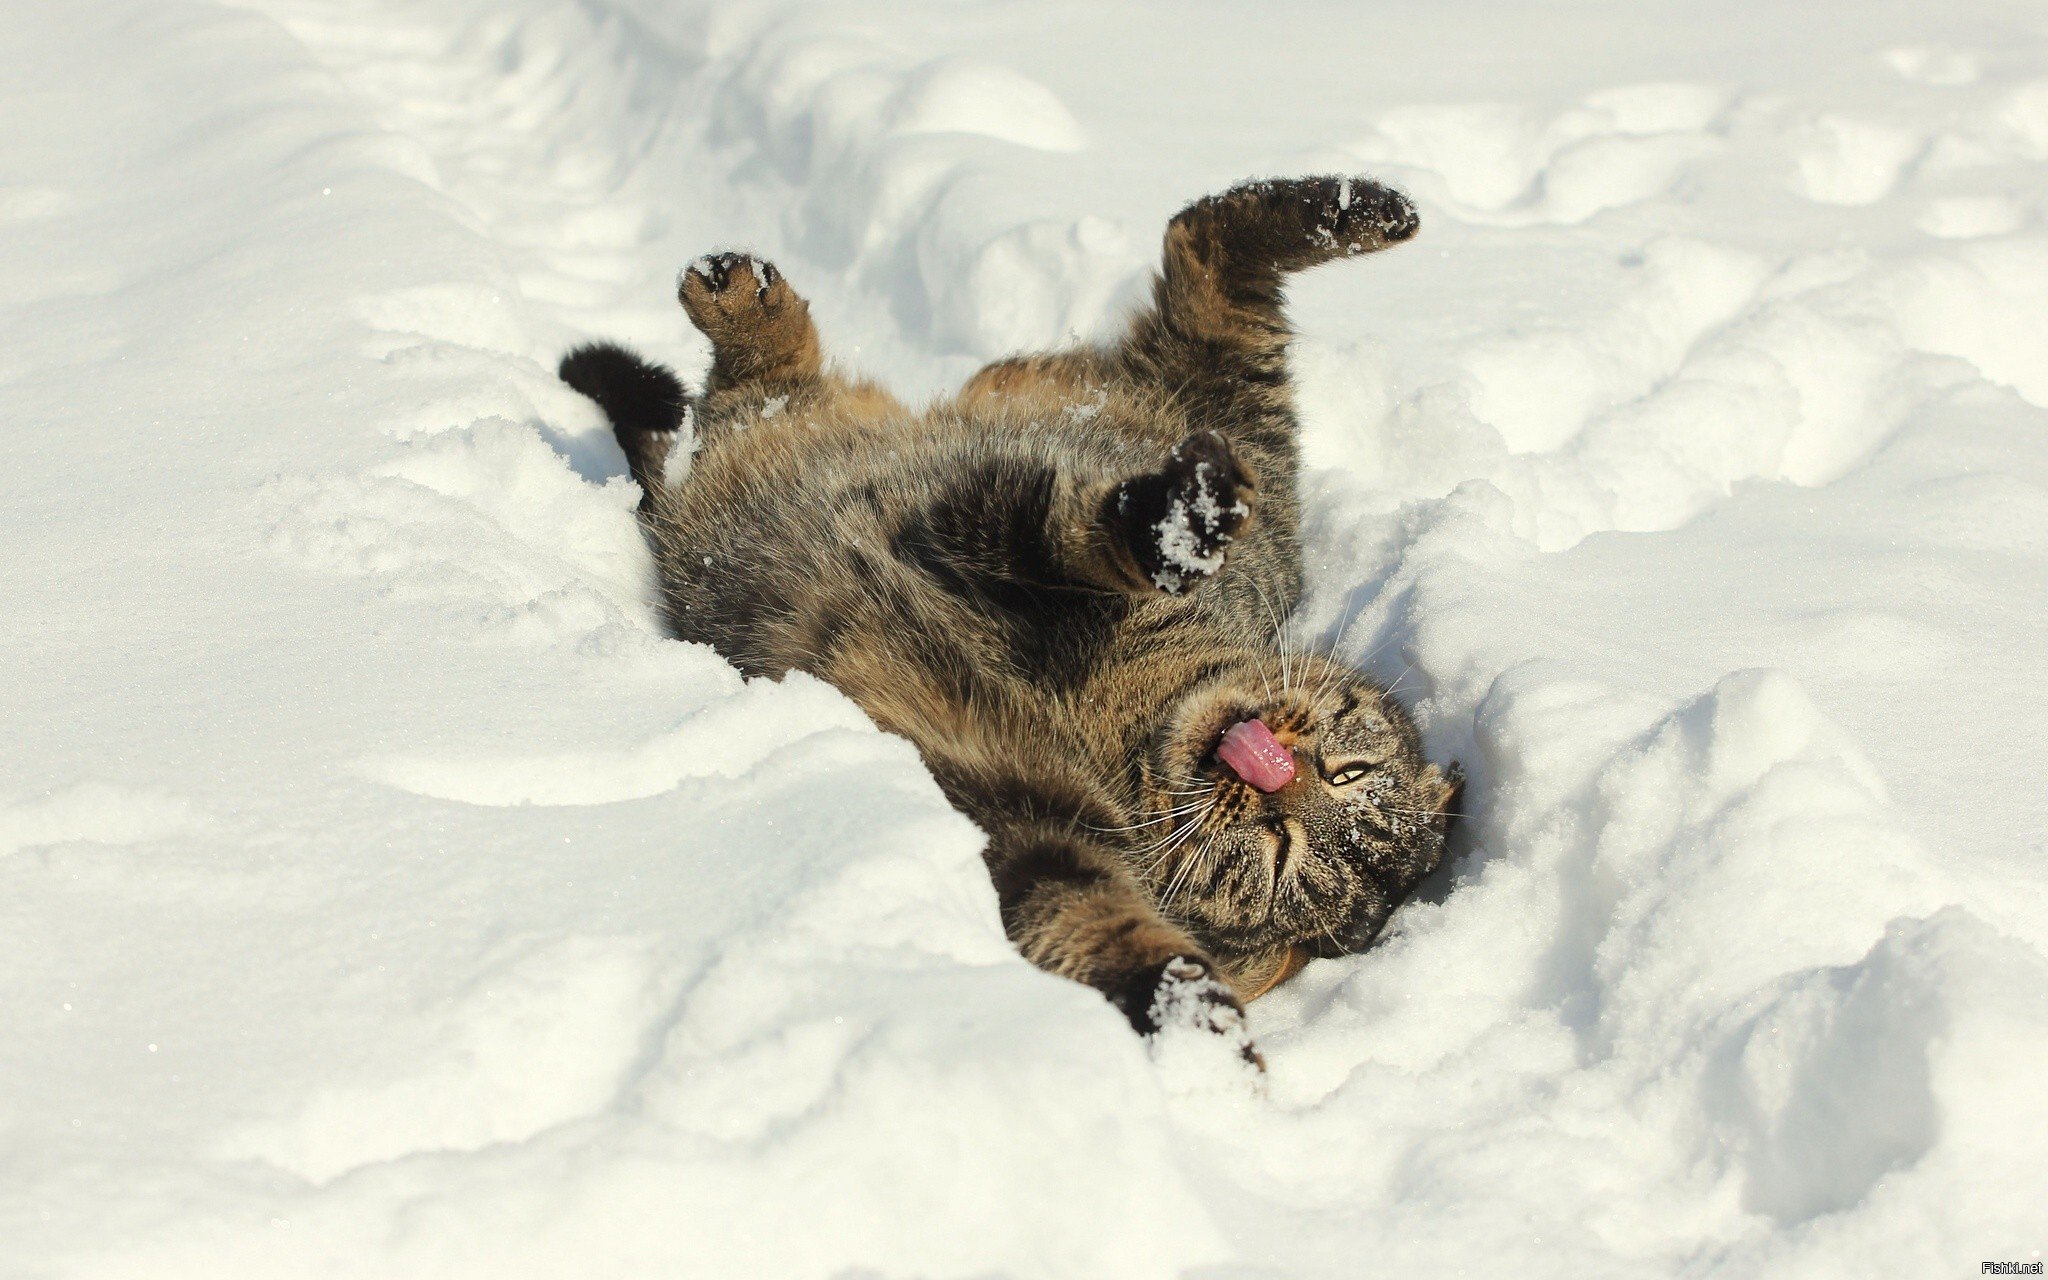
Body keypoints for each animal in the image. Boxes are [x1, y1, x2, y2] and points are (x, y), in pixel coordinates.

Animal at [561, 175, 1458, 1064]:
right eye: (1347, 774)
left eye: (1280, 855)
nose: (1278, 776)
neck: (1124, 714)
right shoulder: (995, 525)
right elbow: (1078, 533)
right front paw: (1176, 522)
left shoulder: (1028, 827)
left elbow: (1098, 923)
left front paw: (1199, 1031)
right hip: (1229, 416)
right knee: (1203, 252)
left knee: (743, 402)